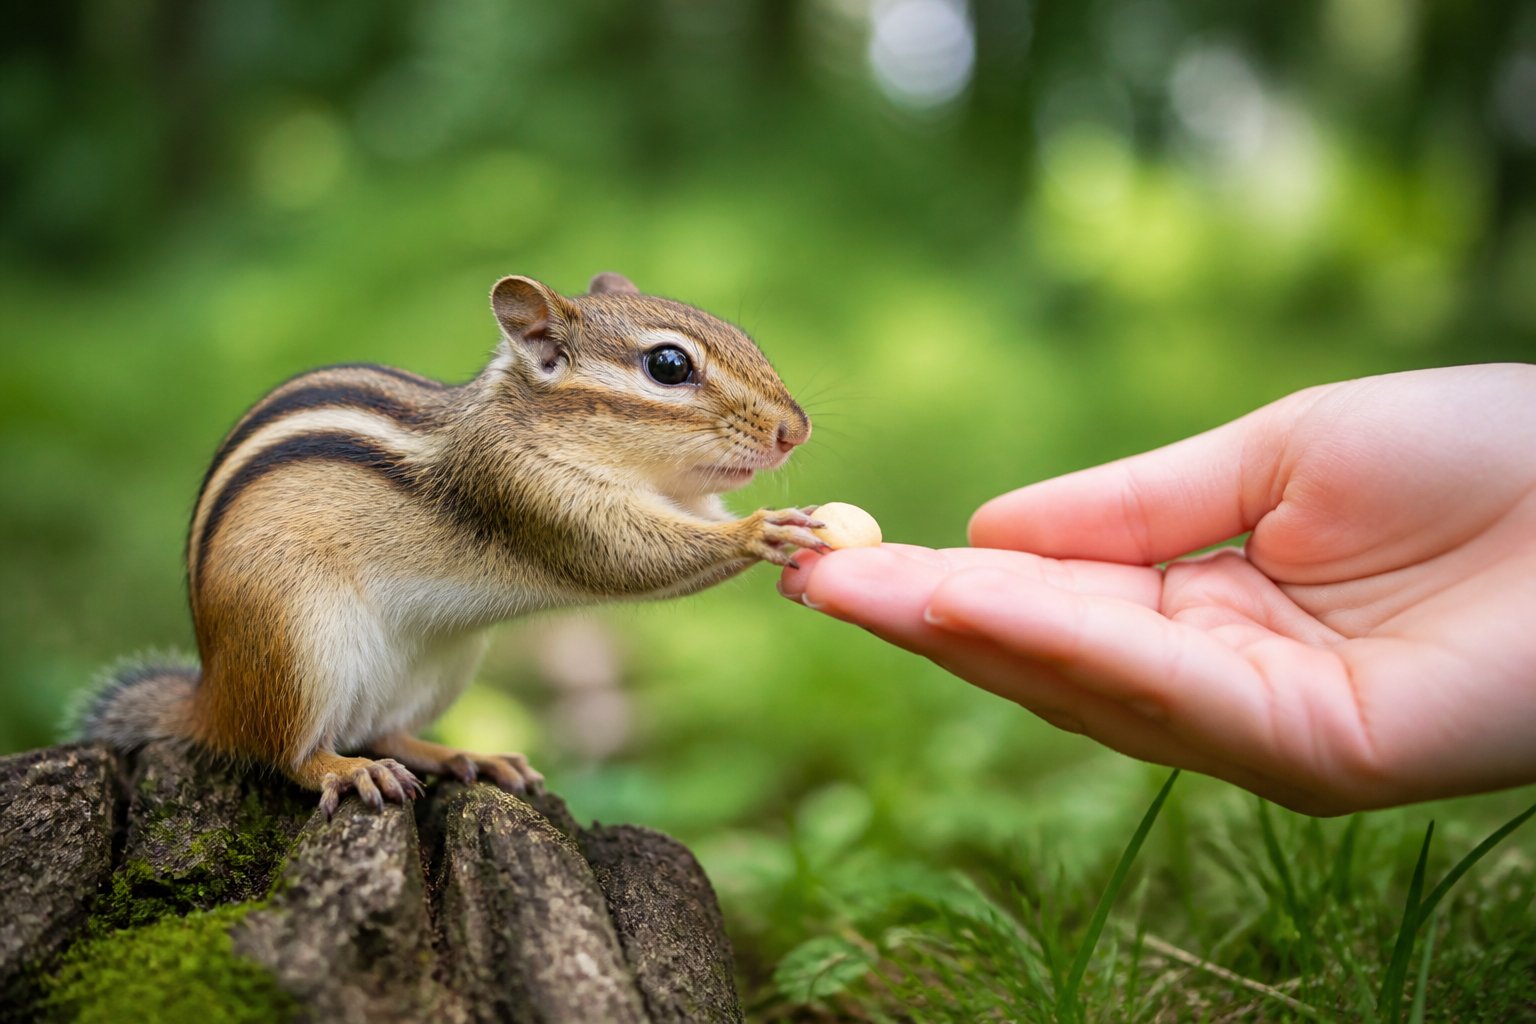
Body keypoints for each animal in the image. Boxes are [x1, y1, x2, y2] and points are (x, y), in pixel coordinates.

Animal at [80, 272, 826, 817]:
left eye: (741, 335)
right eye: (669, 365)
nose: (796, 430)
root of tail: (213, 698)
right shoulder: (528, 494)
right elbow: (631, 557)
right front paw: (760, 530)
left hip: (440, 665)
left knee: (384, 729)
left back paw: (466, 758)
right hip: (295, 641)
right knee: (286, 754)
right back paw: (347, 772)